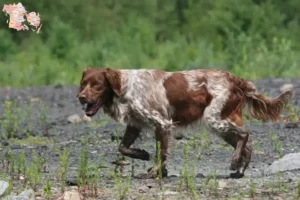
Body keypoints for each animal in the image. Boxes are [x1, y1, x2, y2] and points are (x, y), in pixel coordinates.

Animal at [77, 67, 292, 178]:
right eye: (83, 84)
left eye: (97, 85)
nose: (80, 97)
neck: (124, 87)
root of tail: (235, 79)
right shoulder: (135, 124)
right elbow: (123, 147)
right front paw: (143, 155)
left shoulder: (162, 123)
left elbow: (161, 153)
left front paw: (156, 171)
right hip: (221, 126)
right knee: (246, 146)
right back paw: (239, 169)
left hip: (214, 119)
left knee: (244, 134)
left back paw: (234, 163)